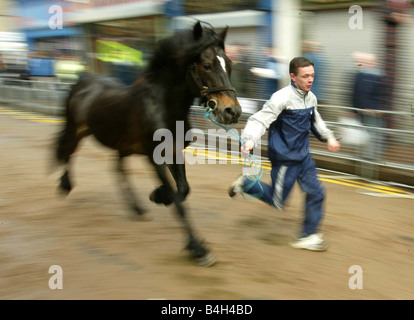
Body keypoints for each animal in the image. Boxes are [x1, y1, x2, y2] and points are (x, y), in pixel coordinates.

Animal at [55, 22, 243, 266]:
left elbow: (183, 190)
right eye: (207, 65)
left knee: (117, 169)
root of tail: (81, 83)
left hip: (121, 145)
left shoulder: (175, 153)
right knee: (67, 152)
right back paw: (65, 184)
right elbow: (179, 202)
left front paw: (158, 195)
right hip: (77, 131)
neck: (163, 107)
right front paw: (199, 249)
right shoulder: (154, 157)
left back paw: (136, 208)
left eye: (229, 64)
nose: (232, 111)